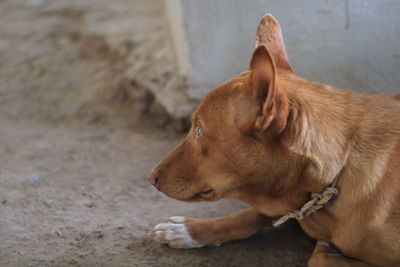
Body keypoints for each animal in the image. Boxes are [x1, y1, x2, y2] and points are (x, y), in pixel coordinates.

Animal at [147, 15, 400, 267]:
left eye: (198, 129)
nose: (150, 177)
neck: (337, 175)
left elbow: (318, 256)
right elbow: (252, 213)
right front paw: (189, 230)